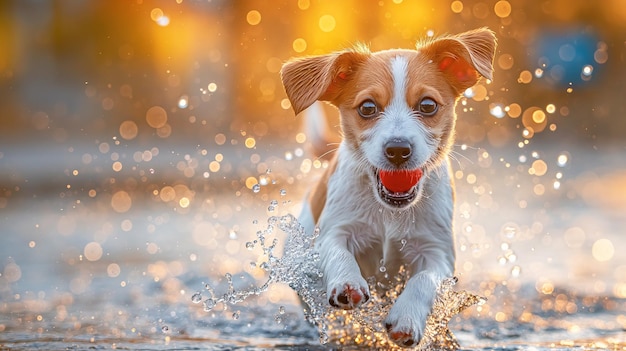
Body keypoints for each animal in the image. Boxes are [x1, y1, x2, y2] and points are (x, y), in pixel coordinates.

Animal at [280, 28, 494, 348]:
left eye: (427, 105)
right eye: (368, 108)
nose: (398, 149)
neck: (390, 212)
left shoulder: (438, 253)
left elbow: (424, 280)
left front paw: (406, 318)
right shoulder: (334, 230)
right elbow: (337, 250)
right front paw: (347, 282)